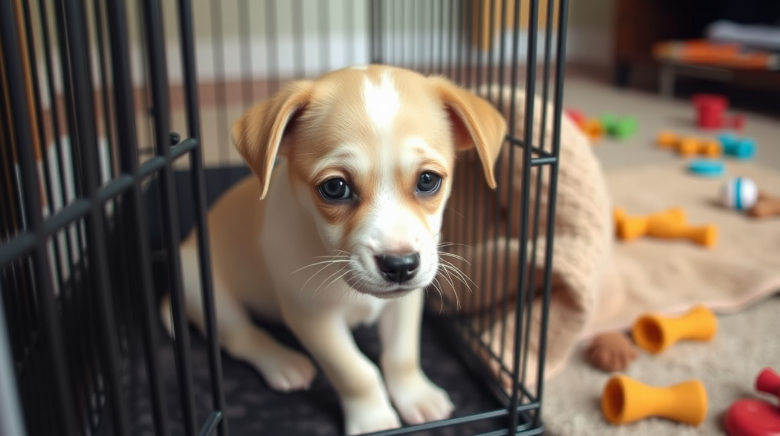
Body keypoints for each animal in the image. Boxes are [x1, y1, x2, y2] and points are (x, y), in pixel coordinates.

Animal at [161, 65, 508, 436]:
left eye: (428, 180)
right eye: (335, 187)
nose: (400, 265)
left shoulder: (406, 303)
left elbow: (401, 355)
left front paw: (417, 396)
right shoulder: (312, 317)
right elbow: (356, 372)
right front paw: (373, 421)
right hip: (205, 291)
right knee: (240, 336)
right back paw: (284, 363)